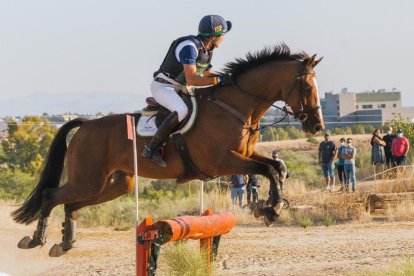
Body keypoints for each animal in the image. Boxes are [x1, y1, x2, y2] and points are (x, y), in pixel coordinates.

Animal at [11, 43, 326, 256]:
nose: (316, 126)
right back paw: (35, 240)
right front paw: (271, 209)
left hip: (115, 184)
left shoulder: (244, 156)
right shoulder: (223, 161)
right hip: (88, 179)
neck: (235, 106)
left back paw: (64, 244)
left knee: (71, 204)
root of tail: (86, 125)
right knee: (52, 197)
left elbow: (277, 168)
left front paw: (269, 207)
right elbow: (268, 170)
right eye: (307, 87)